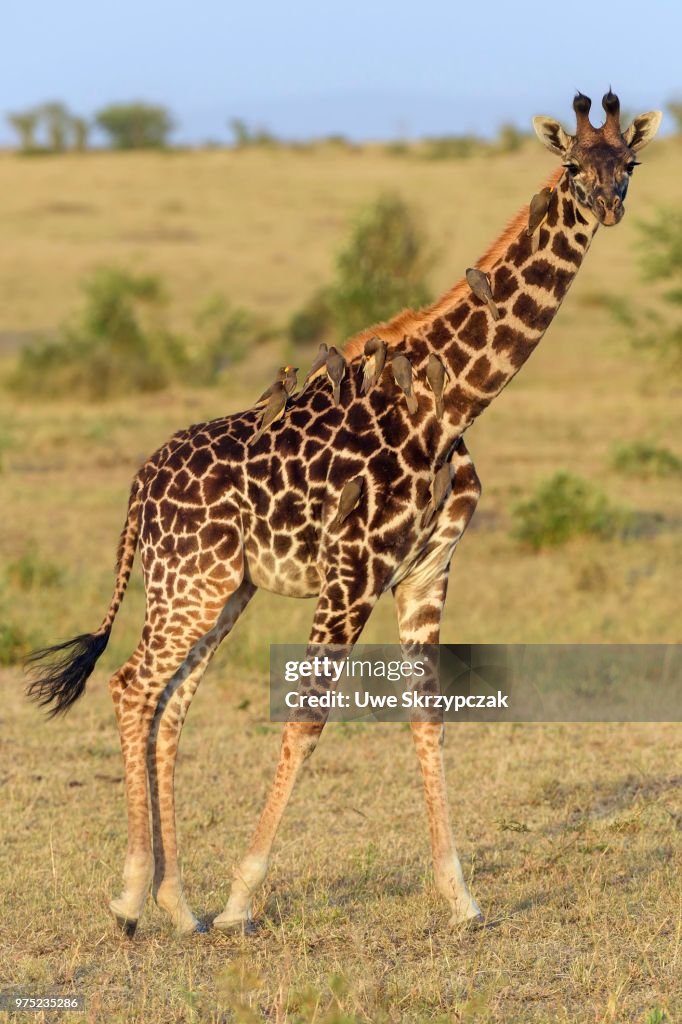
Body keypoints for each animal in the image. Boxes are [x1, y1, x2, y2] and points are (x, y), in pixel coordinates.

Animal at [27, 92, 661, 936]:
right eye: (570, 165)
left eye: (629, 163)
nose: (608, 205)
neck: (449, 405)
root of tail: (140, 484)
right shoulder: (353, 572)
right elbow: (308, 715)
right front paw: (243, 898)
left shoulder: (427, 571)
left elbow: (428, 715)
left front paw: (459, 897)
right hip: (189, 582)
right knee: (134, 686)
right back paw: (133, 898)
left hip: (223, 590)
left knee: (169, 705)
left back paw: (176, 904)